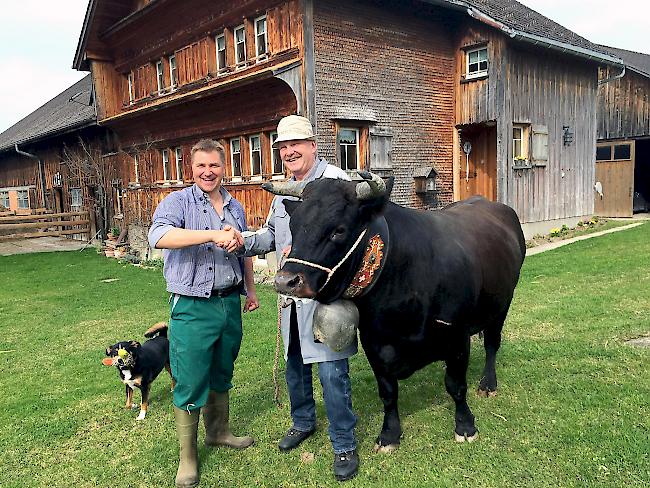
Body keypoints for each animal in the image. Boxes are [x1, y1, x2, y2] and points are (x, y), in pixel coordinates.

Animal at [266, 173, 524, 452]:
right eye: (293, 226)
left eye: (339, 230)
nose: (285, 281)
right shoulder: (375, 344)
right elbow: (388, 393)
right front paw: (389, 435)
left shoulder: (457, 336)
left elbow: (456, 385)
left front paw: (465, 426)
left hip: (503, 304)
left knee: (492, 345)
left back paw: (488, 383)